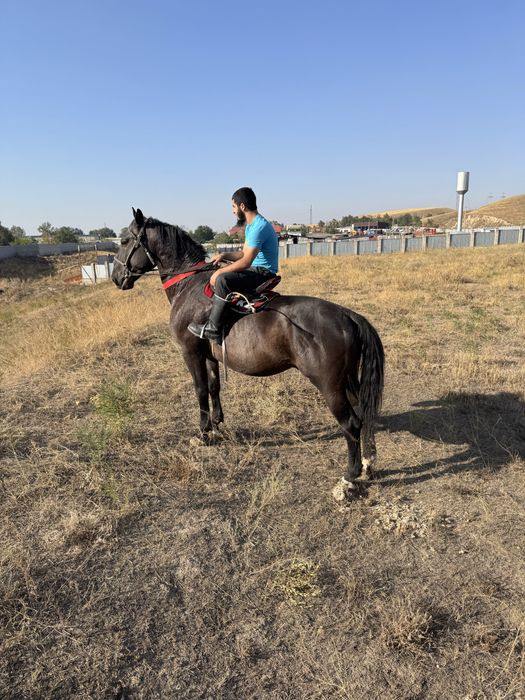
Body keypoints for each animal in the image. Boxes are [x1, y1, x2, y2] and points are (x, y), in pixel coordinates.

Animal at [111, 208, 384, 501]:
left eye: (125, 240)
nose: (115, 277)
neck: (189, 286)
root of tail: (347, 315)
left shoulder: (191, 352)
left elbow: (200, 390)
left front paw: (204, 433)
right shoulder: (210, 356)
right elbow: (214, 387)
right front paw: (217, 425)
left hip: (329, 385)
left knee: (351, 424)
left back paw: (349, 477)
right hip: (349, 380)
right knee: (363, 415)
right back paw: (367, 465)